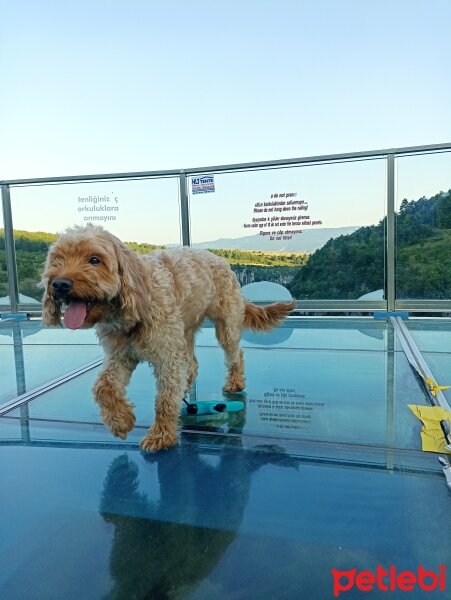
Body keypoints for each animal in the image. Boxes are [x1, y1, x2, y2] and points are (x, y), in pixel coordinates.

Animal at [41, 225, 296, 450]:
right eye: (57, 260)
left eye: (95, 260)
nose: (59, 284)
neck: (132, 307)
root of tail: (219, 259)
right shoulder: (120, 356)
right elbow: (103, 387)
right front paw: (120, 421)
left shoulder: (167, 357)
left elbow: (164, 399)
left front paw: (161, 435)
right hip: (184, 332)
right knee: (192, 363)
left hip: (226, 325)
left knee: (235, 354)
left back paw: (235, 382)